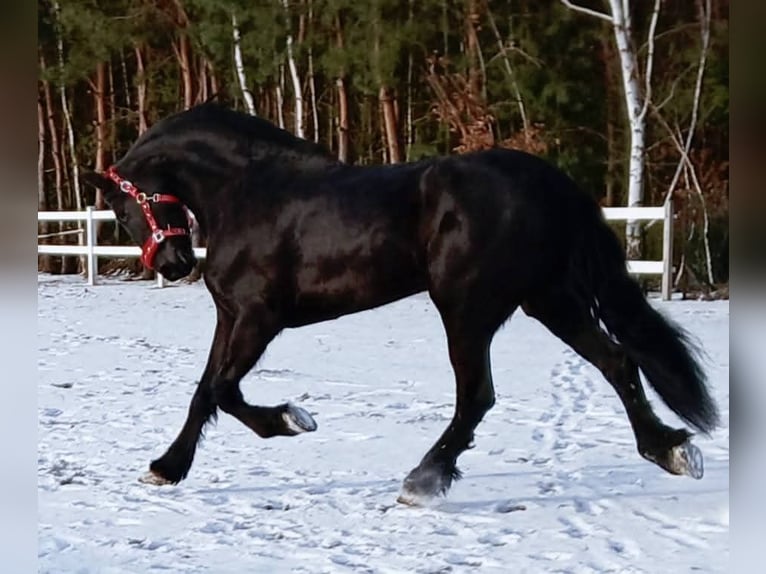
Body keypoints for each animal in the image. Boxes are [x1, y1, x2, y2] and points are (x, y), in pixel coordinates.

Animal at [81, 103, 716, 508]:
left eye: (121, 207)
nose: (174, 265)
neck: (252, 191)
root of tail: (547, 180)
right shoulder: (231, 317)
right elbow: (204, 391)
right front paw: (166, 468)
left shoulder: (260, 318)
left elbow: (222, 390)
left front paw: (290, 420)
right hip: (549, 300)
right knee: (617, 362)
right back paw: (668, 450)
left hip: (466, 307)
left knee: (477, 396)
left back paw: (423, 480)